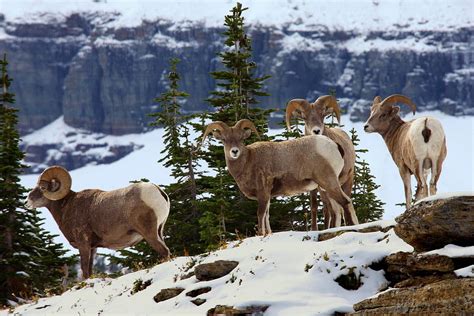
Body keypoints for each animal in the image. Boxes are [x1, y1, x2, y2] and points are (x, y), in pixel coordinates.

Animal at [25, 167, 170, 278]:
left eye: (43, 187)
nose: (26, 202)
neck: (67, 207)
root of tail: (158, 191)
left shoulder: (83, 245)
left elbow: (84, 270)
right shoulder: (93, 247)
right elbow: (89, 270)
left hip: (150, 234)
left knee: (164, 252)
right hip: (159, 232)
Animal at [199, 118, 356, 235]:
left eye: (240, 138)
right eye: (224, 140)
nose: (234, 151)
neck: (248, 161)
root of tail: (335, 146)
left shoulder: (263, 193)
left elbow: (261, 214)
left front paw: (261, 234)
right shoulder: (268, 196)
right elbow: (267, 215)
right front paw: (268, 233)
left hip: (328, 182)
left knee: (345, 202)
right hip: (326, 188)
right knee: (338, 210)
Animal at [286, 95, 360, 228]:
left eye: (322, 115)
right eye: (304, 117)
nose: (316, 131)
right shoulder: (317, 186)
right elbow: (316, 207)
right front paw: (314, 229)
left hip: (345, 181)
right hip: (323, 189)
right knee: (328, 208)